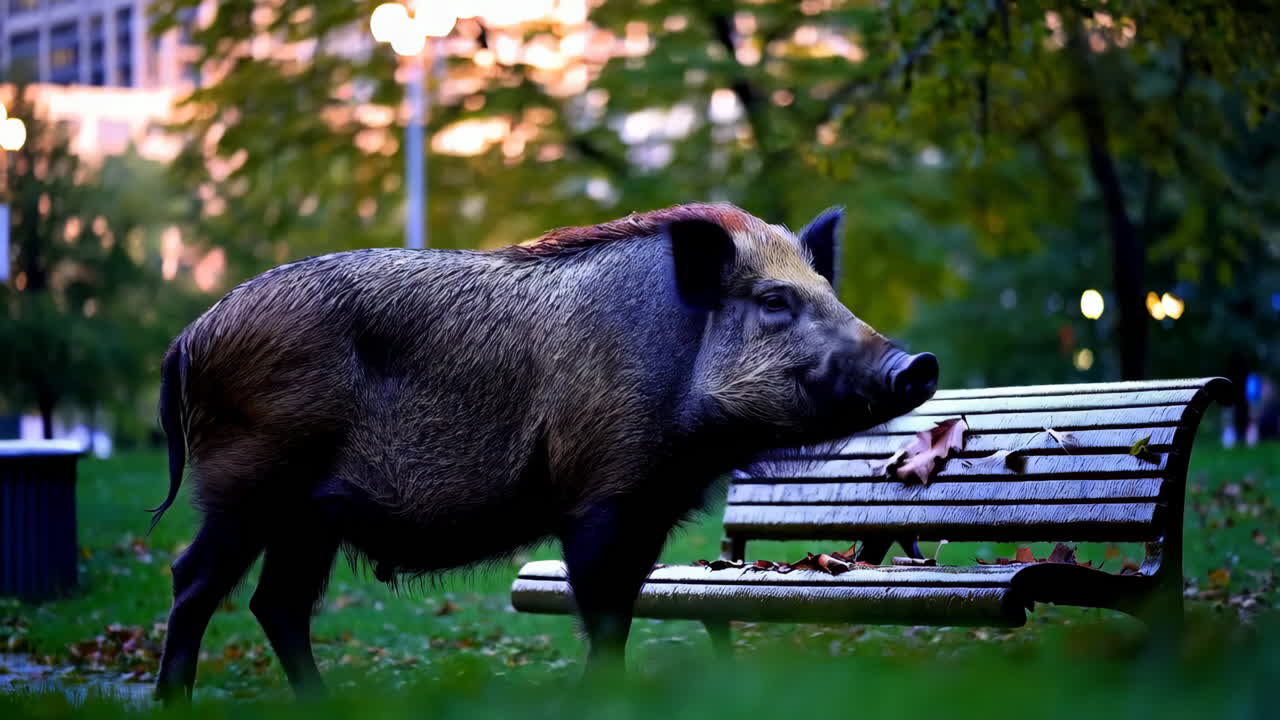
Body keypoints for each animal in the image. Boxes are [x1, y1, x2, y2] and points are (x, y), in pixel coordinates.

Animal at [149, 203, 937, 702]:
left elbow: (621, 607)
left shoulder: (651, 509)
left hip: (310, 517)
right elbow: (603, 611)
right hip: (249, 483)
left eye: (828, 291)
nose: (919, 363)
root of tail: (190, 335)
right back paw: (173, 702)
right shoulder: (600, 494)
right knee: (194, 580)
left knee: (276, 604)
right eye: (774, 302)